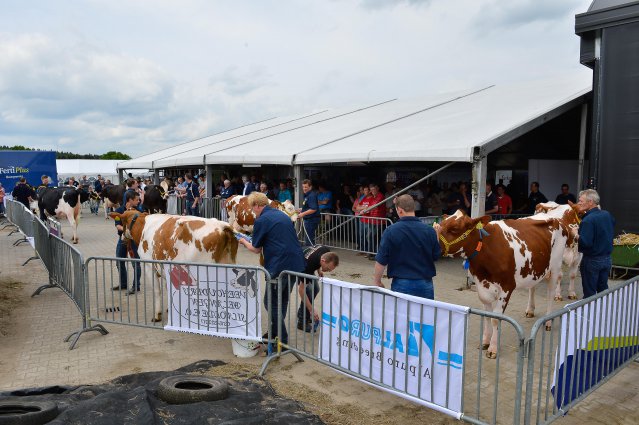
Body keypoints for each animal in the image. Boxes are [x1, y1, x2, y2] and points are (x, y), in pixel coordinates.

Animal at [107, 210, 238, 320]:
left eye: (122, 222)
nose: (121, 237)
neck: (143, 226)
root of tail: (222, 226)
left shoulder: (149, 266)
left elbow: (157, 290)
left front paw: (157, 315)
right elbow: (167, 288)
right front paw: (169, 309)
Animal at [438, 209, 568, 358]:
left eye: (454, 228)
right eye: (442, 223)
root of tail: (554, 217)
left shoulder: (507, 287)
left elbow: (496, 318)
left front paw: (493, 349)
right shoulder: (481, 285)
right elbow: (487, 316)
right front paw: (485, 342)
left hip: (556, 265)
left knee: (551, 292)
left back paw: (548, 322)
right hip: (535, 267)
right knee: (532, 287)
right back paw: (530, 310)